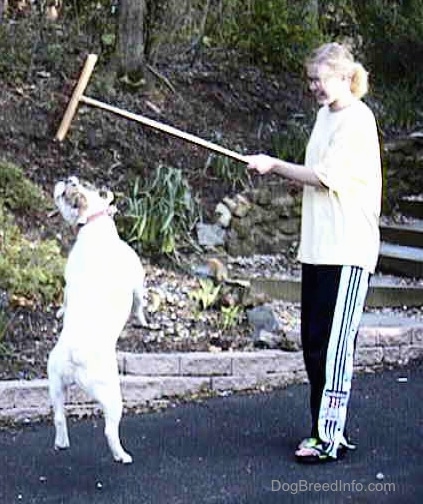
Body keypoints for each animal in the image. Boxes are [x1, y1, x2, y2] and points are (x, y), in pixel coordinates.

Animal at [47, 176, 147, 464]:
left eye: (78, 182)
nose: (66, 179)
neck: (94, 222)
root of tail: (75, 354)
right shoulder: (138, 281)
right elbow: (140, 302)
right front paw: (142, 319)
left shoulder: (67, 284)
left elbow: (65, 298)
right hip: (112, 394)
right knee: (109, 430)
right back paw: (122, 455)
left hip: (55, 381)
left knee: (59, 416)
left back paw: (62, 443)